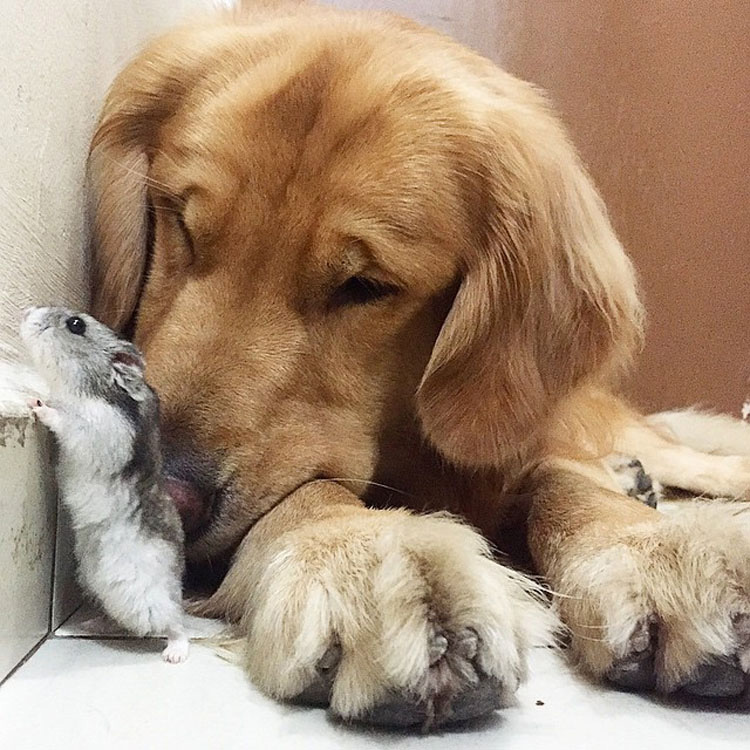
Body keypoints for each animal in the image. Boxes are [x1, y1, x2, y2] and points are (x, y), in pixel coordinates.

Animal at [21, 306, 191, 664]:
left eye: (76, 325)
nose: (25, 311)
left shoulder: (96, 430)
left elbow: (64, 420)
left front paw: (37, 405)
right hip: (98, 584)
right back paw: (87, 624)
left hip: (146, 599)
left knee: (175, 623)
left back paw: (174, 654)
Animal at [86, 0, 750, 728]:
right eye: (179, 222)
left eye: (365, 286)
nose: (161, 493)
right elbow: (308, 493)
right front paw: (370, 551)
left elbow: (561, 478)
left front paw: (659, 552)